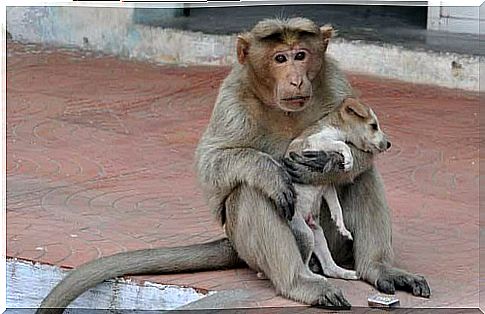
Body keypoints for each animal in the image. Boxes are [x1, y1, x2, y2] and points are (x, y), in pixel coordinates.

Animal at [284, 97, 390, 280]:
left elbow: (336, 206)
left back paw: (347, 273)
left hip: (318, 234)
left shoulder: (327, 186)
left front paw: (341, 225)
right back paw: (314, 276)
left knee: (328, 267)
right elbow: (342, 144)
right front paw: (348, 160)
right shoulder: (315, 141)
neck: (335, 127)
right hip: (305, 233)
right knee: (303, 265)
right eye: (373, 126)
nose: (389, 144)